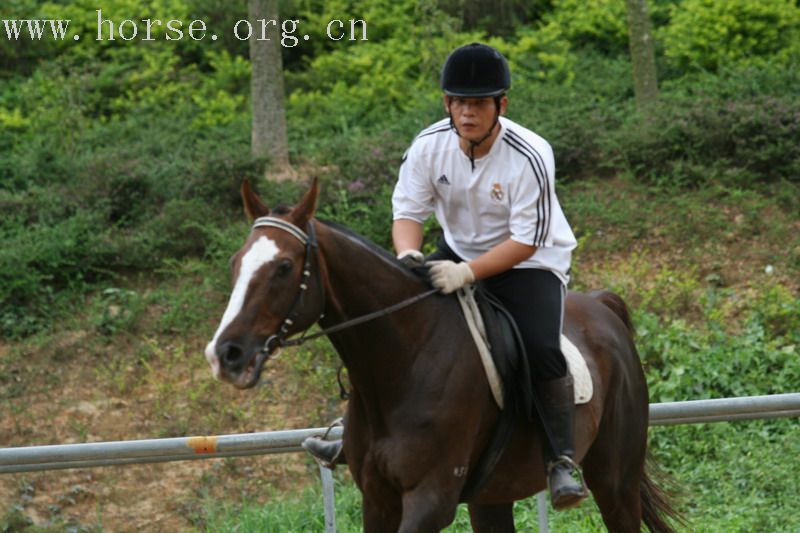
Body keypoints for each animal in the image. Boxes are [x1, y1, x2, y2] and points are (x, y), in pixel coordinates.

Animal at [205, 181, 680, 528]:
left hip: (615, 482)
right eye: (235, 263)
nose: (226, 354)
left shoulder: (429, 500)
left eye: (284, 267)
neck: (403, 360)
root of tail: (602, 307)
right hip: (494, 494)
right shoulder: (378, 499)